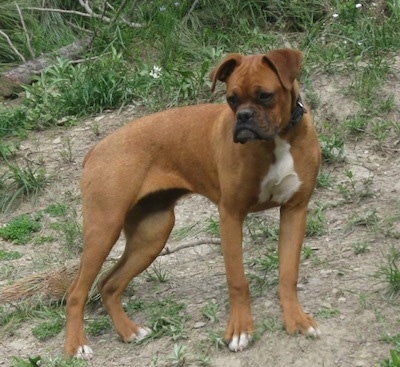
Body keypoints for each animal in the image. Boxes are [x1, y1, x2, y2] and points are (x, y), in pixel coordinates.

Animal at [64, 48, 320, 360]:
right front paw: (240, 331)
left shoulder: (294, 211)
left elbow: (288, 273)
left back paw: (129, 332)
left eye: (265, 96)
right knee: (76, 292)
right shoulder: (231, 215)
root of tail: (96, 149)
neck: (277, 141)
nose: (244, 117)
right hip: (104, 229)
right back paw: (77, 346)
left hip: (151, 236)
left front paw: (297, 320)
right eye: (231, 99)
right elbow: (237, 280)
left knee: (108, 284)